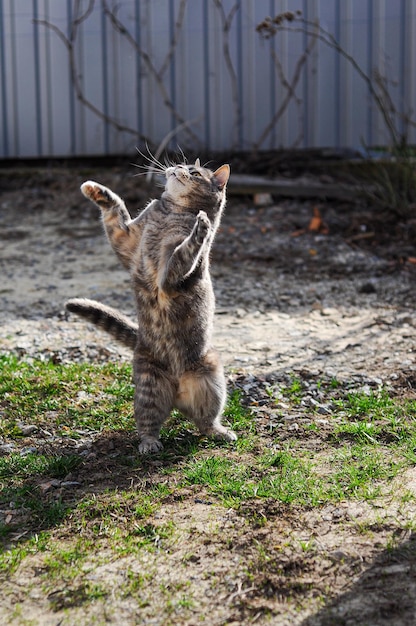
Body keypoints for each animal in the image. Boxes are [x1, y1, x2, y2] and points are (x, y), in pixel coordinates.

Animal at [67, 155, 237, 448]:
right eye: (183, 164)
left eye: (194, 172)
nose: (177, 168)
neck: (172, 212)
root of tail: (178, 393)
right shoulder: (127, 238)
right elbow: (115, 210)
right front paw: (95, 190)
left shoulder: (171, 273)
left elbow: (184, 252)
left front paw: (202, 226)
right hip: (150, 386)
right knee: (149, 423)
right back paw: (149, 443)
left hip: (211, 377)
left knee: (205, 422)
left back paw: (220, 432)